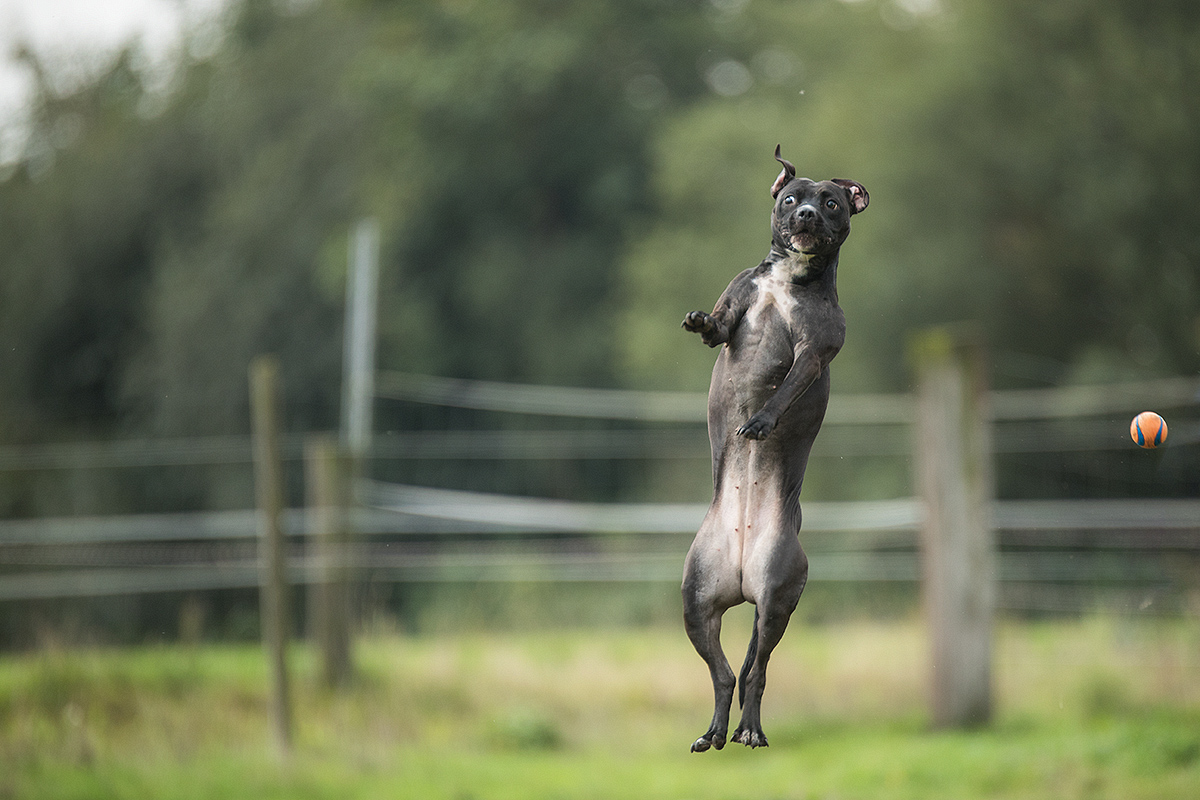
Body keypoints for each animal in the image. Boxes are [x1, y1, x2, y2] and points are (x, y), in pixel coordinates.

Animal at [681, 145, 868, 753]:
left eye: (831, 202)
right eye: (790, 199)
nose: (806, 214)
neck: (788, 281)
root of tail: (742, 569)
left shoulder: (811, 354)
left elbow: (784, 391)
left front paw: (760, 422)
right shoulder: (738, 308)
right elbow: (719, 327)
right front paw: (700, 321)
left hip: (776, 600)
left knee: (755, 671)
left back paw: (749, 730)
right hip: (697, 603)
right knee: (723, 673)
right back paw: (714, 733)